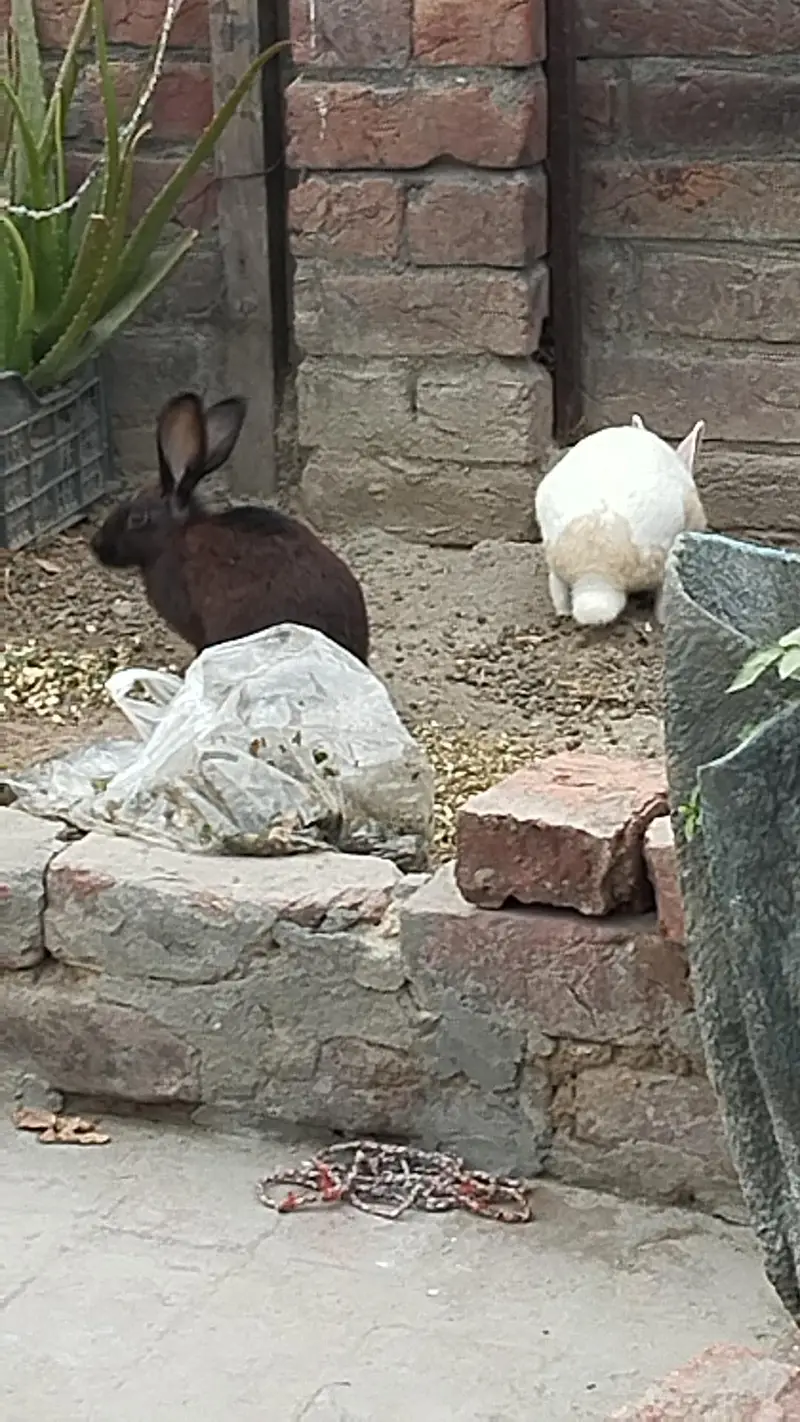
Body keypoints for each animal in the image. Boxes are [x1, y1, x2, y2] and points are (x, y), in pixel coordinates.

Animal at [534, 412, 706, 627]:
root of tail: (595, 577)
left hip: (554, 559)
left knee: (559, 593)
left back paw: (563, 614)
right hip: (663, 561)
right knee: (662, 597)